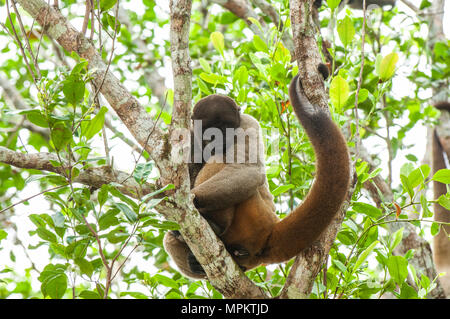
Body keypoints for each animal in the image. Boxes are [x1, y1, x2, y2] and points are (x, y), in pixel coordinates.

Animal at [163, 75, 350, 280]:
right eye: (210, 131)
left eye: (226, 127)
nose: (219, 139)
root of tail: (272, 228)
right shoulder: (187, 136)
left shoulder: (247, 123)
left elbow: (248, 169)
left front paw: (191, 200)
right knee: (168, 238)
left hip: (256, 218)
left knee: (222, 159)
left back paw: (216, 225)